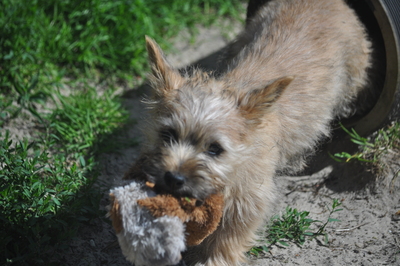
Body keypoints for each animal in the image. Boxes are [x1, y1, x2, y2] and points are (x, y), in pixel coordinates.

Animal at [127, 0, 372, 264]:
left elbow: (228, 238)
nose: (174, 178)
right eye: (168, 135)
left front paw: (215, 260)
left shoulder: (247, 200)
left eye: (215, 149)